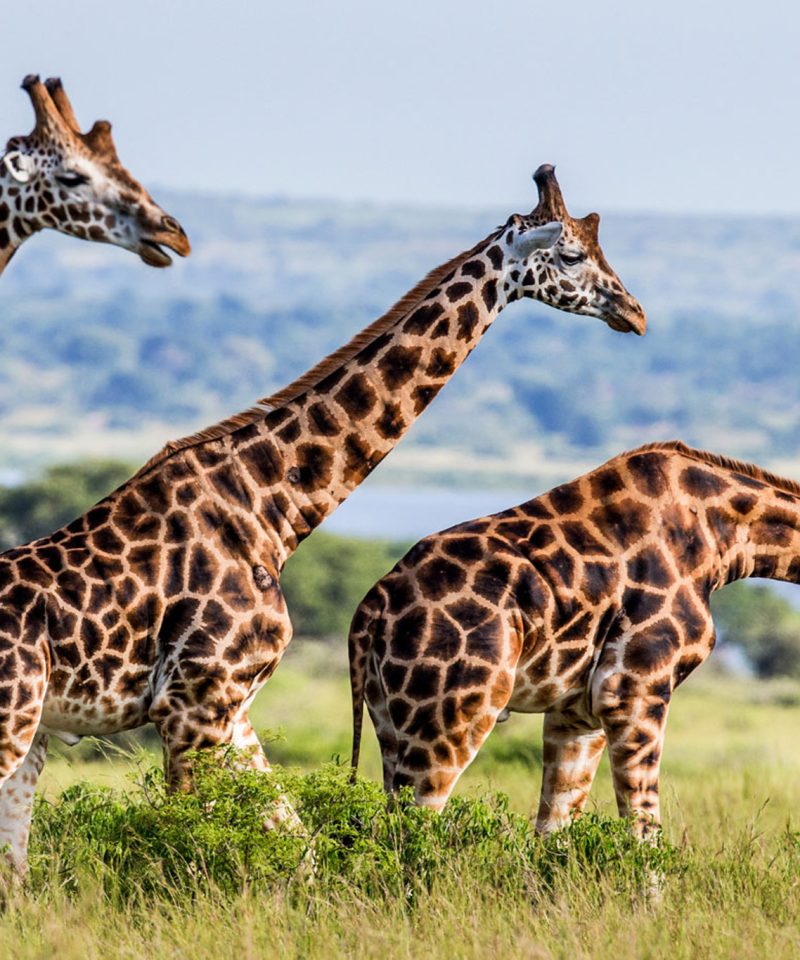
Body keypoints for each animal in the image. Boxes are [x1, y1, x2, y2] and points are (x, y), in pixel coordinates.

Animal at [0, 166, 645, 877]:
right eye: (573, 255)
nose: (634, 313)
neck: (271, 508)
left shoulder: (231, 707)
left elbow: (298, 842)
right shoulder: (192, 703)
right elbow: (184, 839)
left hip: (30, 731)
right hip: (13, 719)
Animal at [349, 440, 800, 837]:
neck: (721, 538)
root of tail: (372, 605)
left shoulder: (577, 713)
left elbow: (553, 829)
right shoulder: (635, 691)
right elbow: (643, 828)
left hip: (389, 717)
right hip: (454, 713)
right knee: (415, 822)